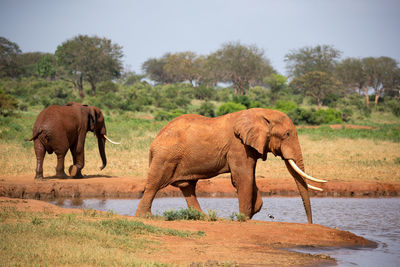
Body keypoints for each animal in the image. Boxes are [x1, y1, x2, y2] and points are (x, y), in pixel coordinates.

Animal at [136, 108, 326, 223]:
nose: (310, 224)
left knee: (187, 187)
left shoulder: (249, 147)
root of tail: (155, 140)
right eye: (287, 134)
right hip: (165, 156)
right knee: (154, 185)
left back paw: (203, 218)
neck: (261, 113)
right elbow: (243, 177)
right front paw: (243, 218)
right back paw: (146, 217)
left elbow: (248, 178)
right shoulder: (238, 145)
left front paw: (250, 213)